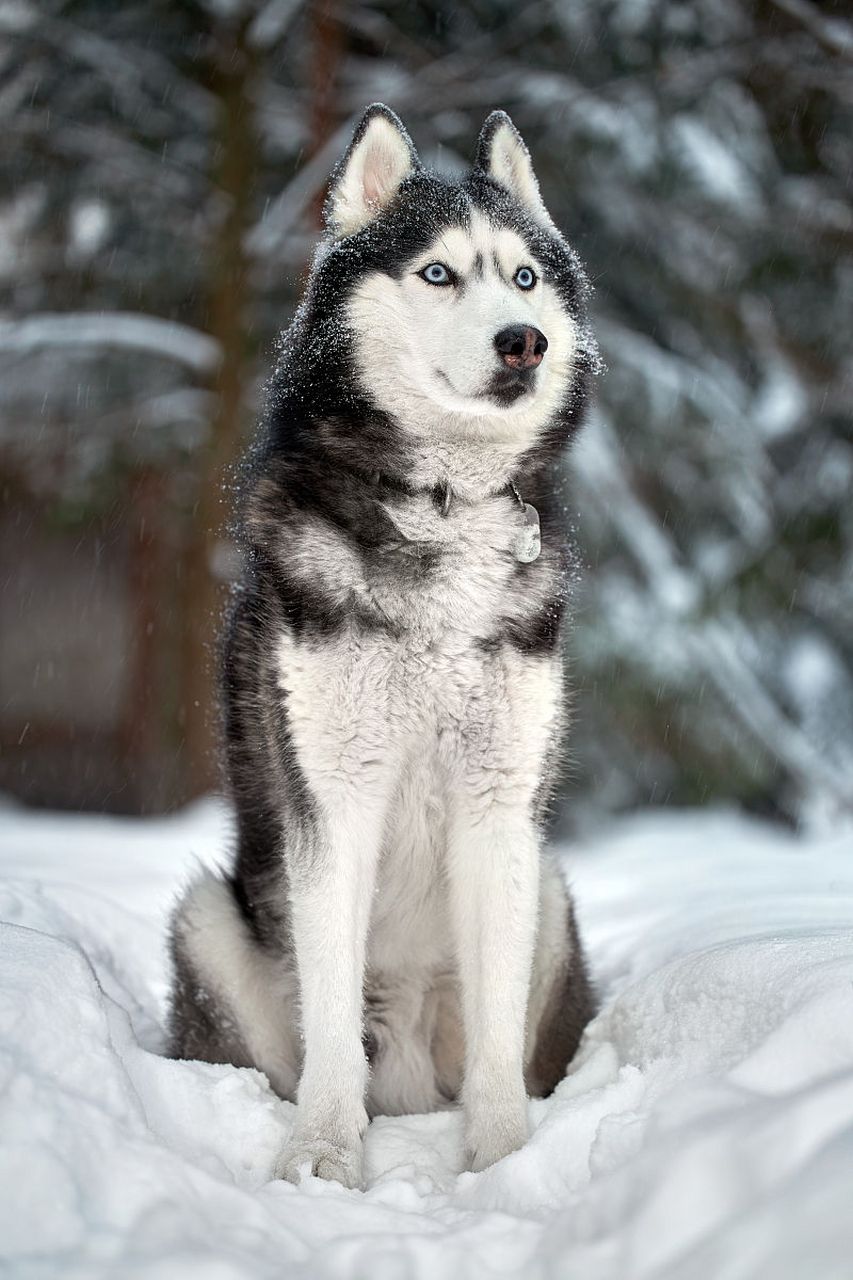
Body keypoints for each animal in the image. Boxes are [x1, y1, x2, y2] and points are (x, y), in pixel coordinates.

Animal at [167, 102, 596, 1187]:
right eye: (437, 273)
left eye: (522, 278)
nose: (523, 342)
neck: (442, 504)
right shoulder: (333, 798)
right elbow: (326, 1013)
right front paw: (323, 1153)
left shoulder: (499, 810)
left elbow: (495, 1037)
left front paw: (502, 1158)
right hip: (207, 918)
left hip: (549, 891)